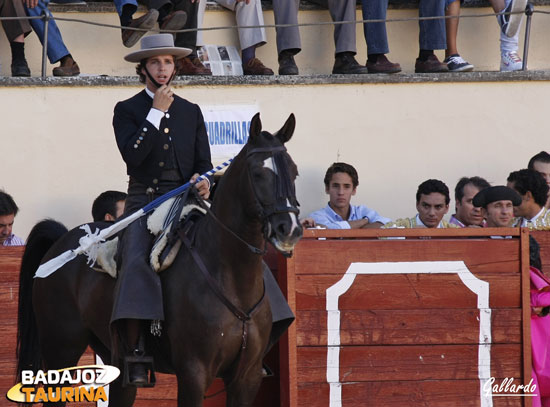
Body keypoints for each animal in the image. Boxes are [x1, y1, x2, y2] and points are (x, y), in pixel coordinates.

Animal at [17, 113, 304, 406]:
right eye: (258, 173)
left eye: (294, 172)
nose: (289, 229)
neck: (231, 276)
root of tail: (62, 241)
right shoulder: (194, 373)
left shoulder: (247, 378)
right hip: (61, 348)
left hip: (114, 357)